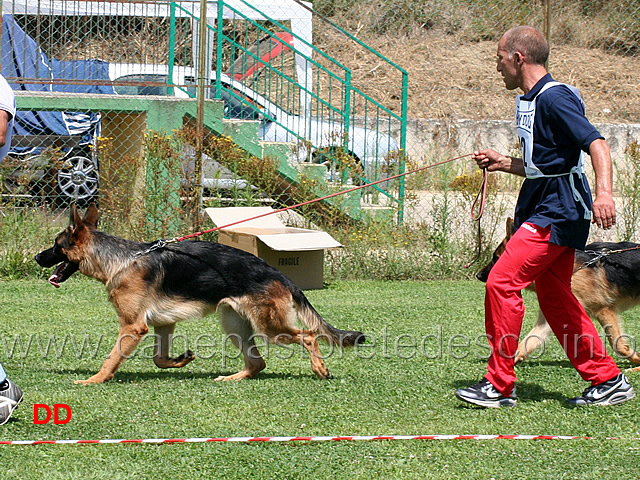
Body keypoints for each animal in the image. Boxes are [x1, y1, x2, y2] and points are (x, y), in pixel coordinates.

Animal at [35, 204, 364, 384]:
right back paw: (232, 378)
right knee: (258, 363)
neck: (121, 259)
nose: (37, 258)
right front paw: (182, 360)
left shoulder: (133, 327)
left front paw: (94, 380)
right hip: (235, 325)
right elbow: (159, 358)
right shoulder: (162, 324)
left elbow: (111, 358)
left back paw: (319, 369)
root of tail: (279, 273)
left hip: (269, 327)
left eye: (55, 245)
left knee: (308, 335)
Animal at [478, 219, 640, 370]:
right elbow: (527, 341)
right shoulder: (548, 319)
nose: (478, 275)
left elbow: (618, 345)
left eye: (495, 258)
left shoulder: (603, 310)